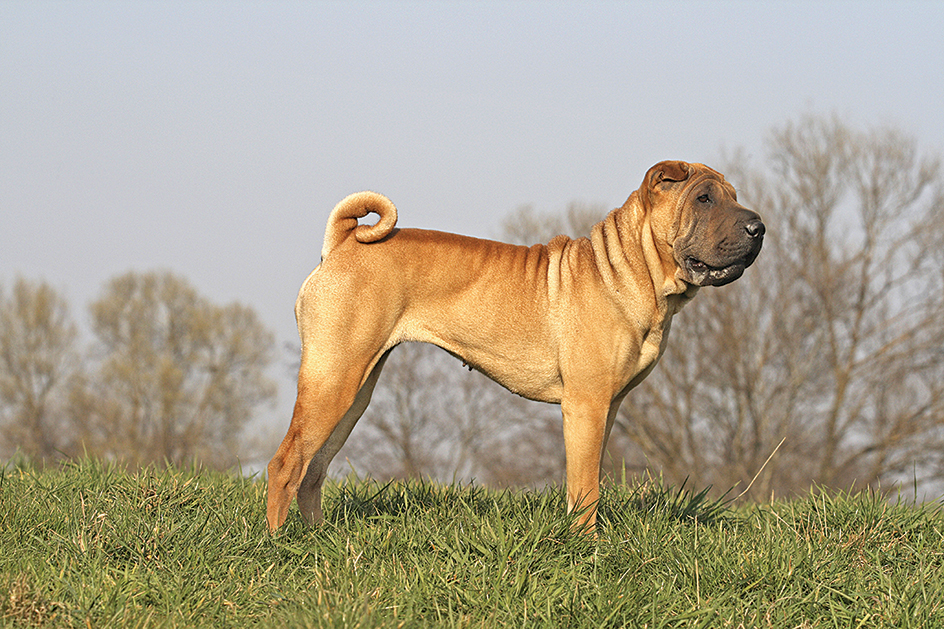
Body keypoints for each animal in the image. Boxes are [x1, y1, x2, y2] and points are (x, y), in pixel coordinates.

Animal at [264, 161, 760, 528]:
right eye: (703, 198)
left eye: (734, 195)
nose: (759, 227)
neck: (634, 272)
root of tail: (343, 244)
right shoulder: (586, 404)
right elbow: (585, 486)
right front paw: (586, 546)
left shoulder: (608, 406)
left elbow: (591, 478)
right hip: (334, 378)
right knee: (286, 464)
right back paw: (280, 545)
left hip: (356, 389)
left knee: (313, 469)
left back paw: (317, 540)